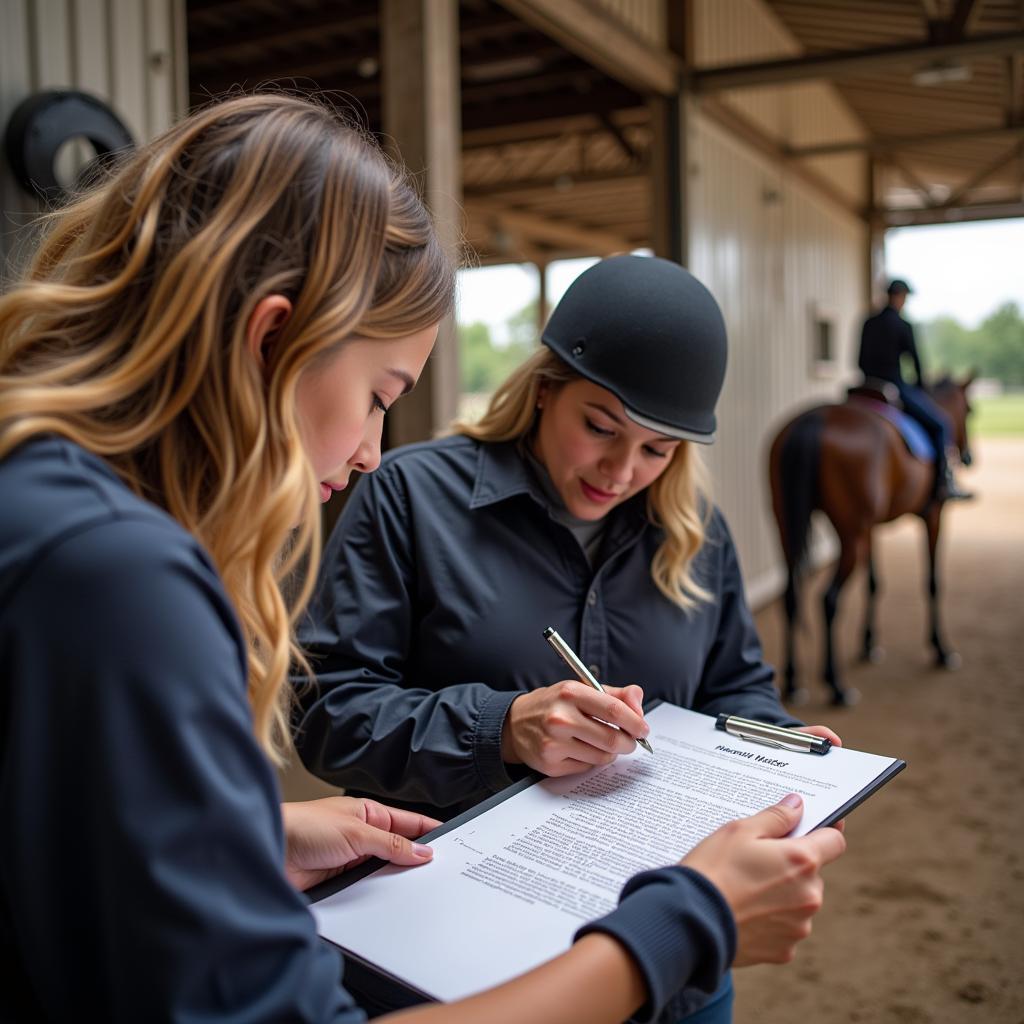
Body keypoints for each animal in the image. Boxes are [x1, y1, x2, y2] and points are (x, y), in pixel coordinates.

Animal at [770, 376, 974, 704]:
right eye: (970, 410)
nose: (968, 457)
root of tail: (814, 420)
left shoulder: (872, 529)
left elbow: (874, 582)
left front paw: (868, 645)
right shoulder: (934, 516)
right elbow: (932, 582)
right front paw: (941, 649)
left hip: (786, 525)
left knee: (790, 595)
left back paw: (792, 681)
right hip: (850, 535)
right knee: (828, 598)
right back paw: (836, 684)